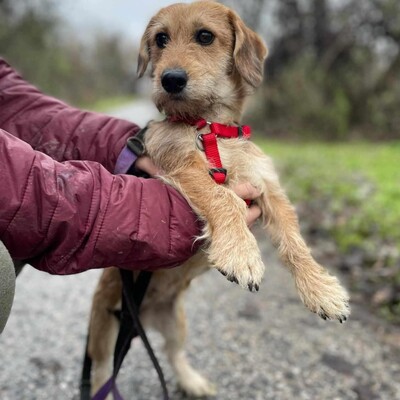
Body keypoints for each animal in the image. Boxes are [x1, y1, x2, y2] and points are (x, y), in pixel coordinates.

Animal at [88, 0, 350, 396]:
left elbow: (295, 243)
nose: (170, 79)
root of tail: (142, 319)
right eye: (160, 39)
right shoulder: (182, 167)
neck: (210, 127)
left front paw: (321, 290)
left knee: (173, 353)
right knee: (103, 371)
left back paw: (192, 382)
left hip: (177, 322)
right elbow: (223, 198)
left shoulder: (268, 187)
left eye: (205, 36)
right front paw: (241, 254)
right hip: (103, 328)